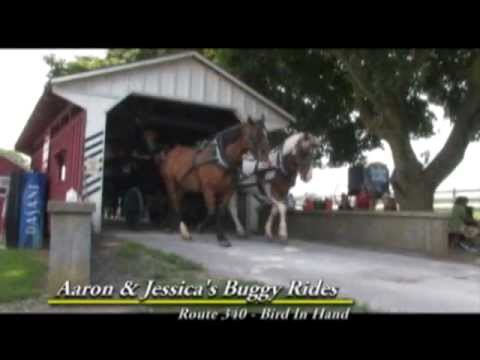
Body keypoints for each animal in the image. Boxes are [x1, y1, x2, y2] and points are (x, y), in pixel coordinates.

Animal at [160, 116, 270, 246]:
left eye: (266, 134)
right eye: (254, 135)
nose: (266, 157)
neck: (220, 160)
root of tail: (172, 152)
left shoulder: (228, 190)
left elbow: (220, 212)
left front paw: (221, 237)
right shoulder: (208, 189)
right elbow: (212, 212)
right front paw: (200, 227)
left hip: (182, 186)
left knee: (175, 201)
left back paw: (171, 227)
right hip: (170, 182)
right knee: (175, 203)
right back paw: (184, 232)